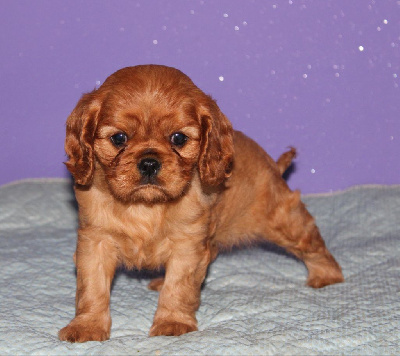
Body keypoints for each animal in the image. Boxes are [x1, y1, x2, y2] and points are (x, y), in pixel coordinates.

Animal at [59, 64, 344, 342]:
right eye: (119, 139)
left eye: (178, 139)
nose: (149, 162)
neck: (146, 206)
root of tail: (273, 164)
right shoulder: (95, 242)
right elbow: (92, 289)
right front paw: (87, 326)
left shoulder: (188, 247)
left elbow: (179, 287)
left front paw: (172, 322)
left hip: (284, 220)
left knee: (314, 245)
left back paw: (326, 276)